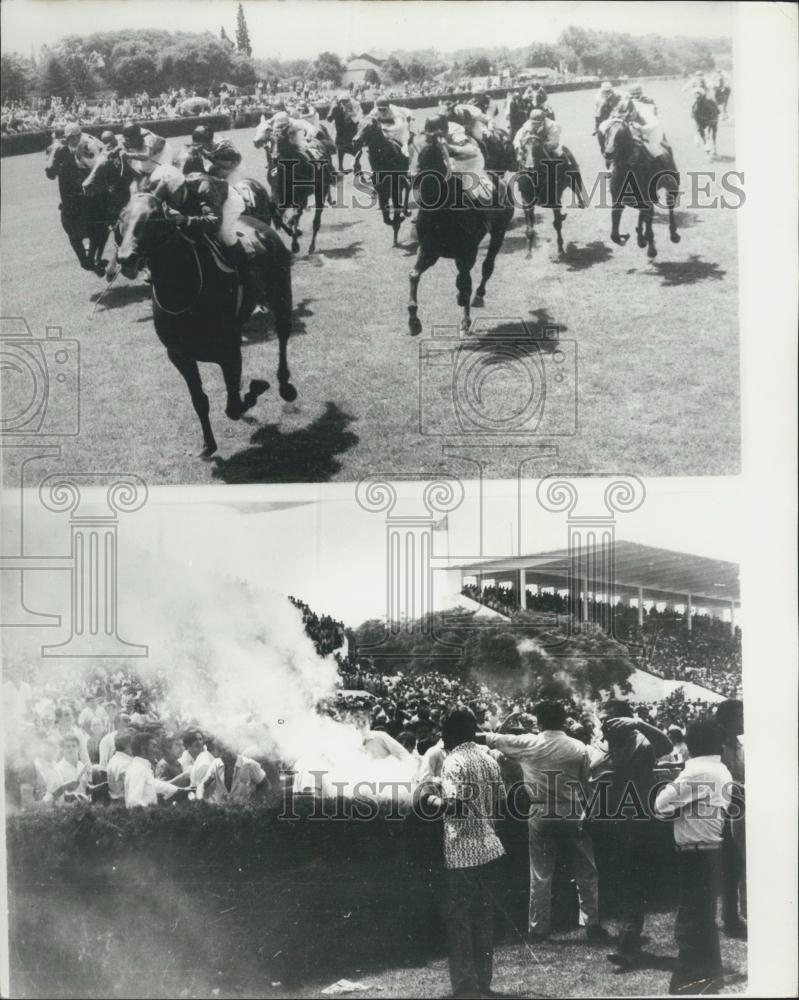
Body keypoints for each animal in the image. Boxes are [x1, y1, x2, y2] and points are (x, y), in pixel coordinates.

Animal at [115, 193, 296, 458]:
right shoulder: (180, 356)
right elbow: (200, 400)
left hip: (281, 294)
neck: (184, 292)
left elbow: (233, 405)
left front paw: (255, 389)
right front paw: (208, 444)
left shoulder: (230, 351)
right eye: (121, 217)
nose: (125, 257)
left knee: (283, 334)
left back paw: (285, 384)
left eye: (153, 217)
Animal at [352, 116, 410, 246]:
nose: (355, 140)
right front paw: (394, 222)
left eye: (369, 127)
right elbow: (386, 217)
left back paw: (406, 211)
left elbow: (396, 208)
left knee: (408, 186)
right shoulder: (381, 191)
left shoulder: (395, 188)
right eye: (358, 126)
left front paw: (399, 219)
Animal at [410, 133, 516, 338]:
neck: (441, 211)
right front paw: (413, 323)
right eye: (407, 149)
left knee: (487, 266)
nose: (411, 176)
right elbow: (414, 275)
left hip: (499, 232)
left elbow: (465, 281)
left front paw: (465, 320)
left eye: (426, 151)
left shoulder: (467, 253)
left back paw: (479, 296)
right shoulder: (428, 251)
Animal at [608, 118, 680, 260]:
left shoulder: (647, 201)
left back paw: (673, 234)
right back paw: (640, 237)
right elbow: (614, 235)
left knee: (670, 208)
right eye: (607, 132)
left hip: (671, 187)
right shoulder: (618, 202)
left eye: (621, 134)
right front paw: (626, 237)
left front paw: (651, 250)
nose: (608, 153)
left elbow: (649, 226)